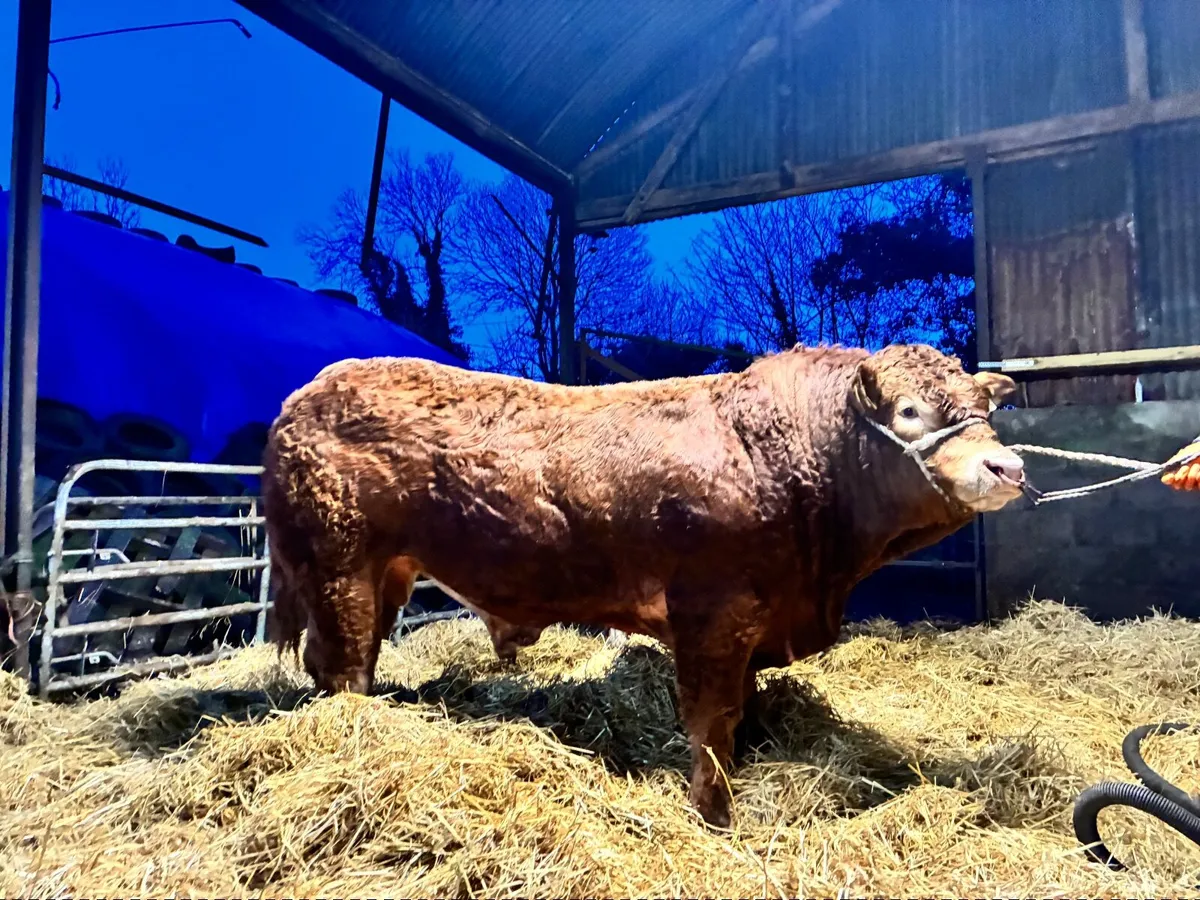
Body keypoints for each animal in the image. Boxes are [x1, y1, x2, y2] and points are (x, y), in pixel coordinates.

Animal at [262, 342, 1025, 827]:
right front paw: (716, 814)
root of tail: (305, 395)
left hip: (383, 574)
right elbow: (712, 721)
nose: (1007, 467)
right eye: (909, 412)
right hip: (339, 568)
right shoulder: (713, 611)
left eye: (986, 412)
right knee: (345, 668)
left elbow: (742, 712)